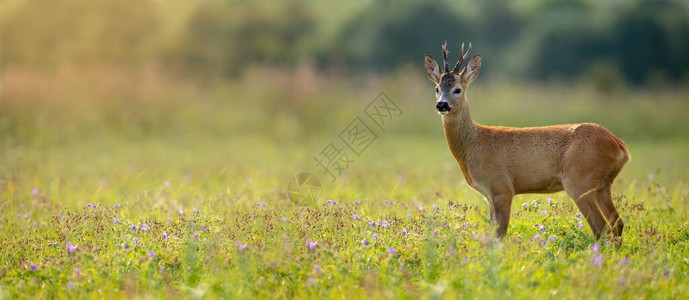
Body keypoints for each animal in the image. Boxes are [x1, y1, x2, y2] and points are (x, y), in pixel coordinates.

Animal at [422, 42, 628, 240]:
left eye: (458, 89)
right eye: (436, 88)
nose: (442, 104)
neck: (474, 145)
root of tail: (620, 147)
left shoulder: (502, 187)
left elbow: (500, 234)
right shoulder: (489, 195)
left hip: (579, 180)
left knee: (601, 228)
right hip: (603, 184)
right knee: (617, 224)